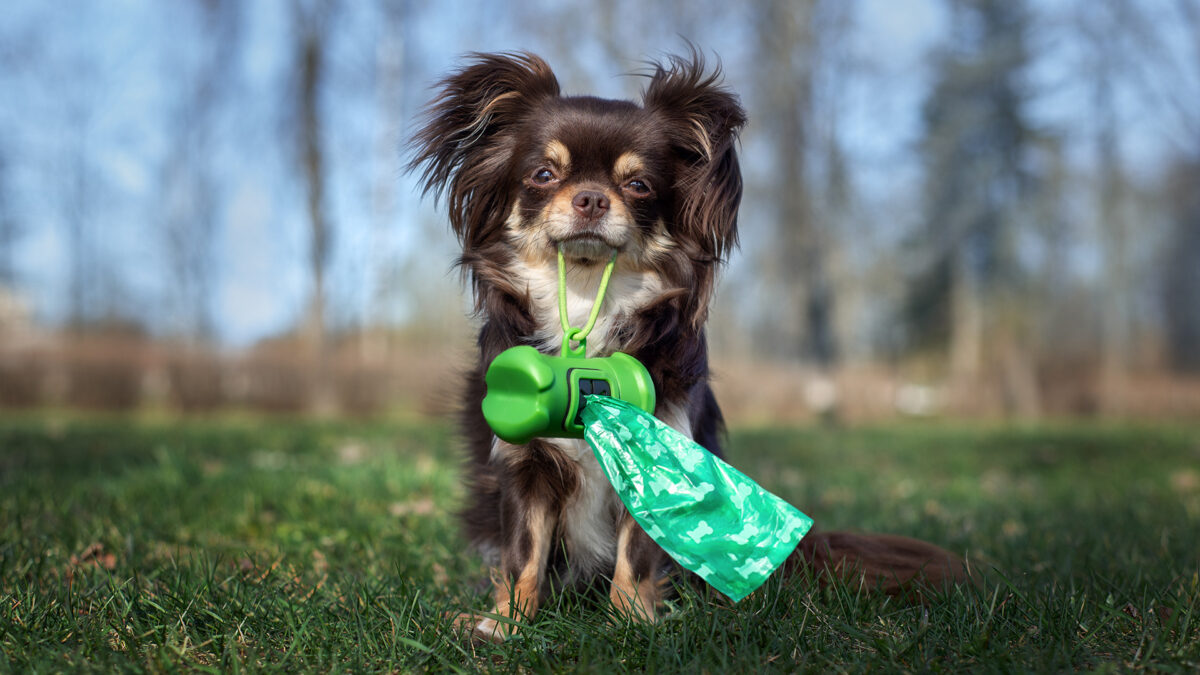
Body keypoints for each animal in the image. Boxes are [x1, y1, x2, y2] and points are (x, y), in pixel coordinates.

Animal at [410, 49, 964, 638]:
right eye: (543, 174)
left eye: (638, 185)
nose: (590, 198)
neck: (586, 299)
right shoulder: (526, 466)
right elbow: (524, 553)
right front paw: (507, 624)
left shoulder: (662, 451)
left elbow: (637, 555)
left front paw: (633, 621)